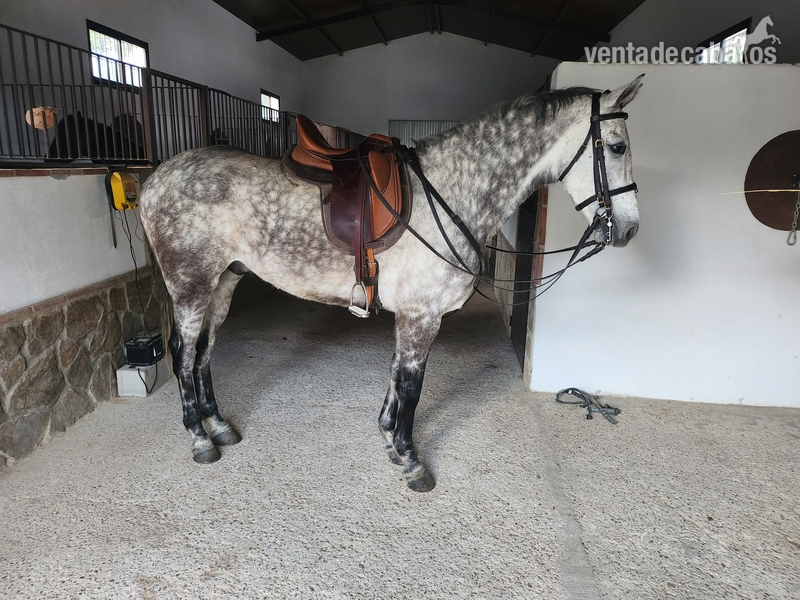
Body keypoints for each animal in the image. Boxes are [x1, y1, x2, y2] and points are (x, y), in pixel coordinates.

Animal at [139, 76, 644, 492]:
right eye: (618, 147)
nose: (629, 230)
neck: (450, 191)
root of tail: (155, 179)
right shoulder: (422, 315)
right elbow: (412, 386)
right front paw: (411, 459)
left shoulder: (411, 314)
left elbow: (397, 376)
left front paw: (388, 438)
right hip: (190, 284)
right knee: (183, 352)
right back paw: (200, 438)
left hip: (224, 281)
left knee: (204, 351)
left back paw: (219, 425)